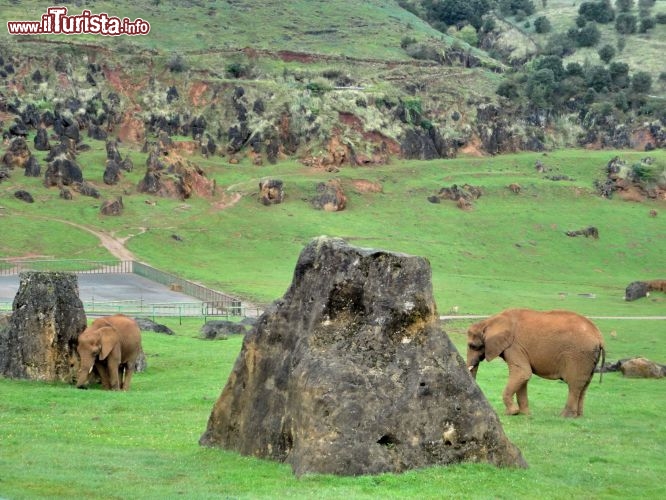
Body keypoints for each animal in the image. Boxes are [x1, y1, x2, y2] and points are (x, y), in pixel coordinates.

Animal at [466, 308, 600, 418]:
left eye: (472, 346)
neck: (489, 321)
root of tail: (599, 337)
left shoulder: (514, 346)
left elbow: (522, 372)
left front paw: (512, 413)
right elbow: (523, 376)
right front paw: (524, 414)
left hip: (579, 357)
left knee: (574, 385)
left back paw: (565, 416)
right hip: (588, 360)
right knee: (584, 385)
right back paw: (579, 417)